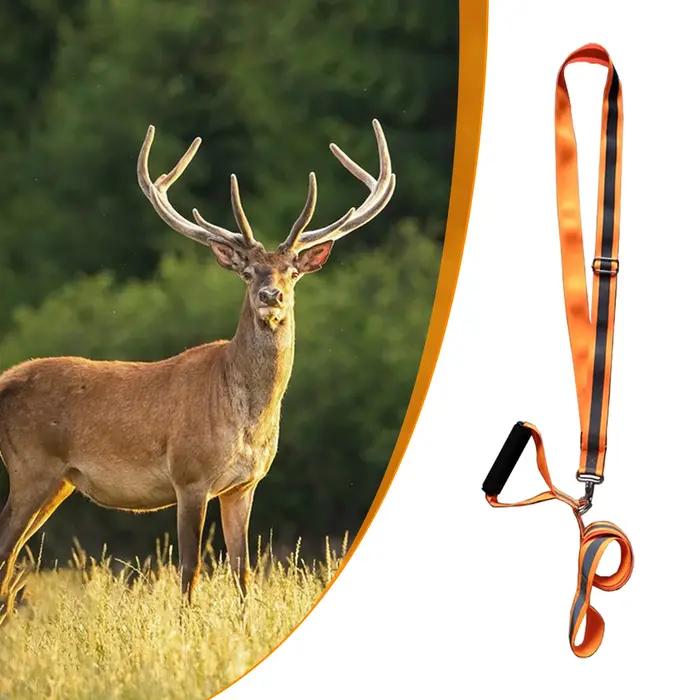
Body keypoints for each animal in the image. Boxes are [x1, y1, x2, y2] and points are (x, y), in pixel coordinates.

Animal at [0, 119, 395, 613]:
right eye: (247, 271)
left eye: (292, 271)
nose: (271, 296)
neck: (245, 418)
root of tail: (5, 381)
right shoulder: (189, 476)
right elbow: (190, 569)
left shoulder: (244, 485)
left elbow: (243, 571)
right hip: (31, 467)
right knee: (6, 550)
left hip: (59, 482)